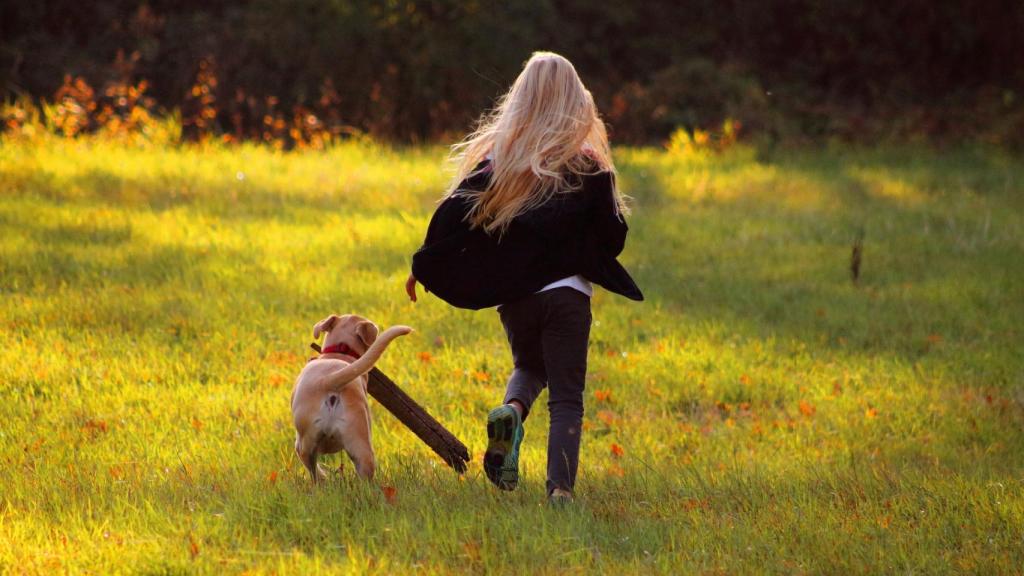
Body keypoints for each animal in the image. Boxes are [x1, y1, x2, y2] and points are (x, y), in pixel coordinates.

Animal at [290, 313, 409, 479]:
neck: (340, 352)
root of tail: (328, 380)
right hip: (361, 443)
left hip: (305, 443)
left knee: (312, 469)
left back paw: (322, 480)